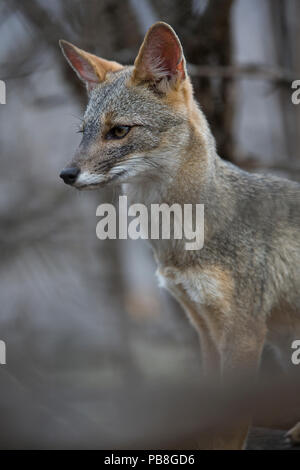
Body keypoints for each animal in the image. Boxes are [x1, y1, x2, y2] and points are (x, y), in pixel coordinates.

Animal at [59, 21, 300, 448]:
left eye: (119, 131)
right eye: (83, 133)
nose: (66, 174)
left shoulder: (244, 331)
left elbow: (232, 426)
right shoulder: (203, 326)